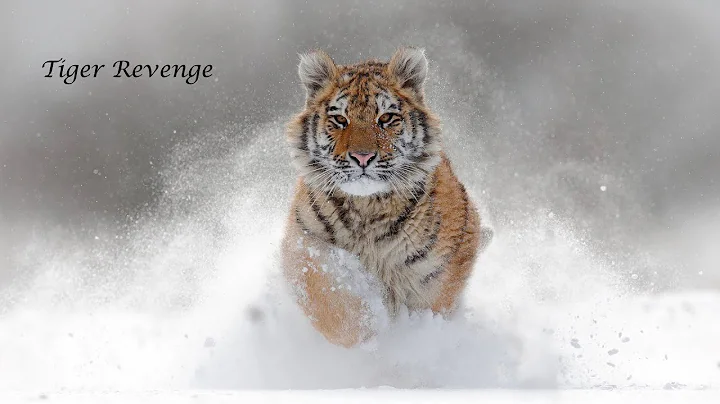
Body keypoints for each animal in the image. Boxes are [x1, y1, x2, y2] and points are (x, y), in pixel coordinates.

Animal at [280, 47, 492, 348]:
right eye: (340, 120)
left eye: (385, 118)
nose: (362, 157)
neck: (367, 208)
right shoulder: (303, 245)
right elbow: (330, 301)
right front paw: (365, 333)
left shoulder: (438, 273)